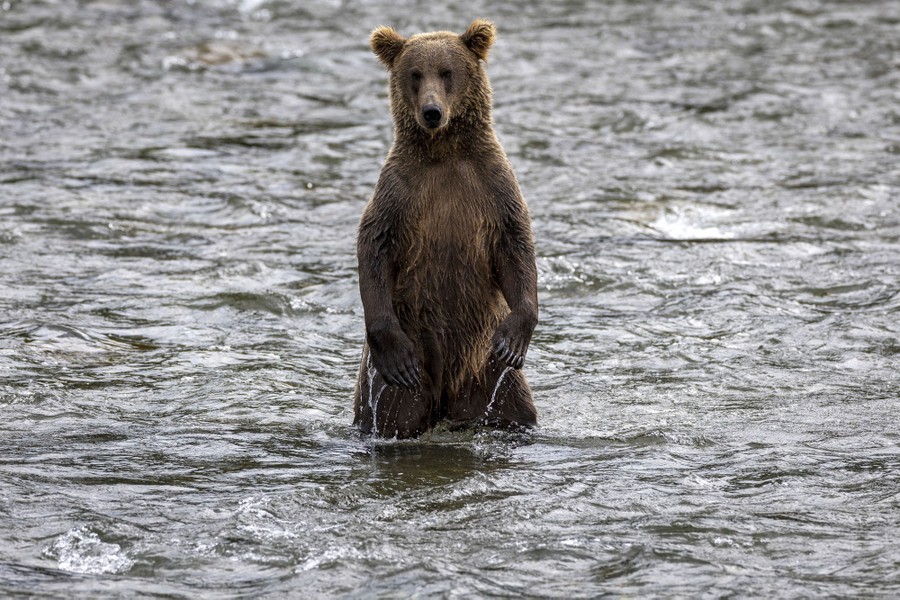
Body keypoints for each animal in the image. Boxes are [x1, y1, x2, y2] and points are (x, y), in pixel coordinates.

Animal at [352, 19, 536, 440]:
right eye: (415, 74)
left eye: (447, 72)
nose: (432, 112)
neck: (445, 152)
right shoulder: (400, 190)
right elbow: (374, 243)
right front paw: (394, 353)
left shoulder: (492, 185)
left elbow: (516, 242)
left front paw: (515, 338)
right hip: (402, 365)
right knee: (391, 410)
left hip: (486, 372)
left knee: (512, 406)